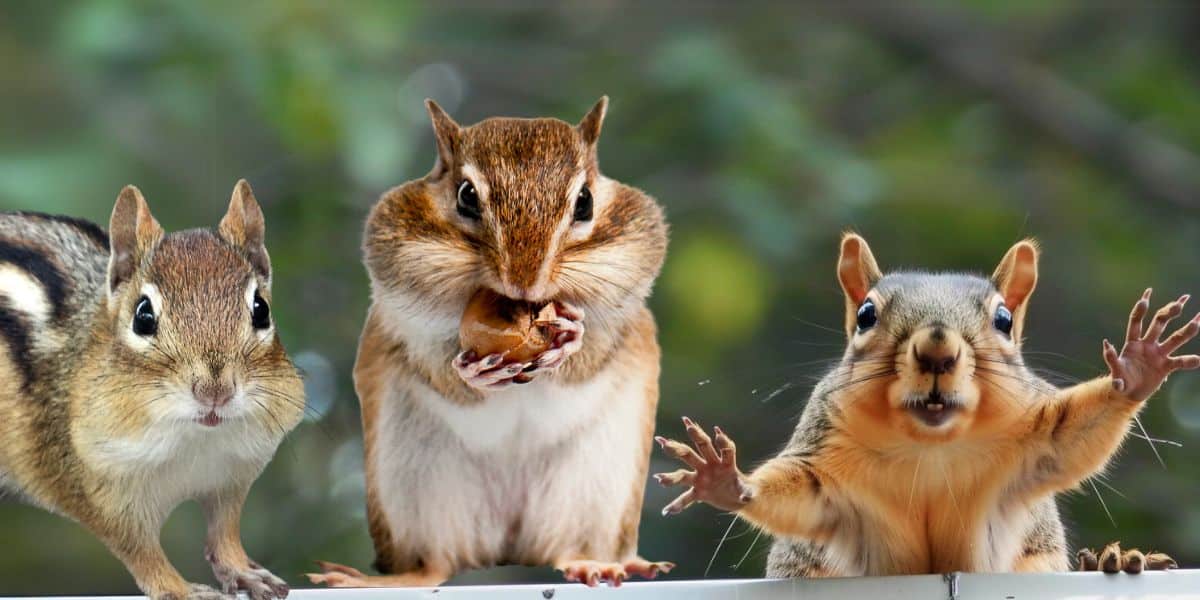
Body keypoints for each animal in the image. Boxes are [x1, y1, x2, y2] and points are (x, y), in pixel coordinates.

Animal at [0, 181, 304, 600]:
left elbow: (224, 535)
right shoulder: (98, 490)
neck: (194, 444)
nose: (214, 390)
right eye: (143, 316)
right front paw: (181, 588)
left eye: (261, 309)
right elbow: (141, 552)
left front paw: (244, 572)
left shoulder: (231, 478)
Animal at [309, 97, 676, 585]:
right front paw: (471, 372)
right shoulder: (403, 314)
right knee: (435, 563)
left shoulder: (624, 313)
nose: (523, 282)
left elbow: (590, 354)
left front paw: (572, 338)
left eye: (584, 202)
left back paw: (594, 563)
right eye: (466, 195)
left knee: (565, 548)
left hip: (593, 488)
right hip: (416, 487)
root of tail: (507, 544)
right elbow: (440, 369)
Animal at [662, 234, 1195, 576]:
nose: (937, 349)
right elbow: (796, 493)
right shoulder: (827, 459)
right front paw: (726, 480)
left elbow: (1072, 437)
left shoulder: (1034, 437)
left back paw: (1118, 560)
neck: (930, 445)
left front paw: (1137, 368)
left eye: (1004, 319)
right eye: (865, 314)